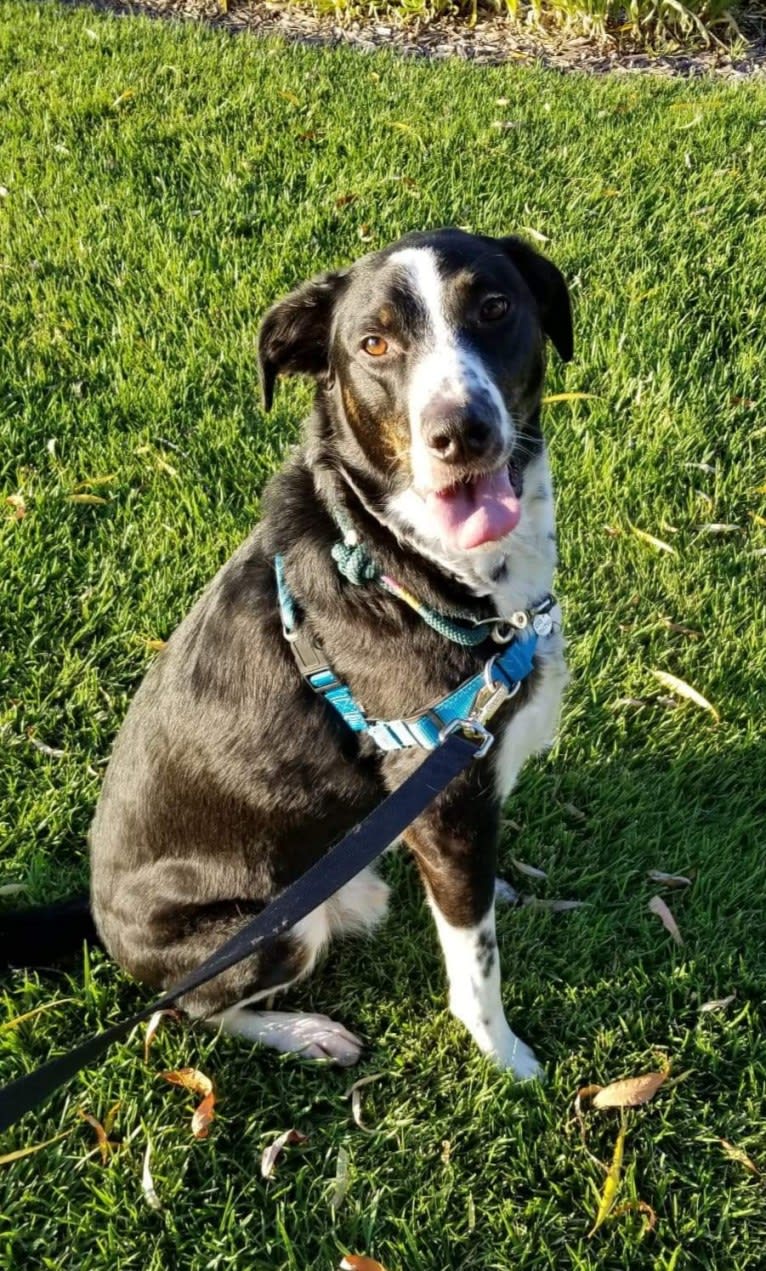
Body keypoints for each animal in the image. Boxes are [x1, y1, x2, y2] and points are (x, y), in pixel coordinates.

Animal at [2, 231, 571, 1082]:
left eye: (496, 307)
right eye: (373, 344)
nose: (459, 432)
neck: (396, 557)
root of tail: (97, 918)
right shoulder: (445, 796)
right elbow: (476, 966)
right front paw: (507, 1057)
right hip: (274, 928)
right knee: (188, 1009)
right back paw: (306, 1031)